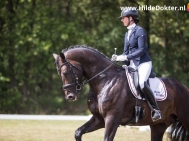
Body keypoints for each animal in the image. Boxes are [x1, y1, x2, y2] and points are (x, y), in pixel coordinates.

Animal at [52, 45, 189, 140]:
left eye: (65, 72)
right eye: (59, 73)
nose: (70, 96)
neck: (104, 80)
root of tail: (183, 87)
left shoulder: (112, 120)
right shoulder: (99, 119)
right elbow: (78, 132)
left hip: (184, 118)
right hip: (158, 125)